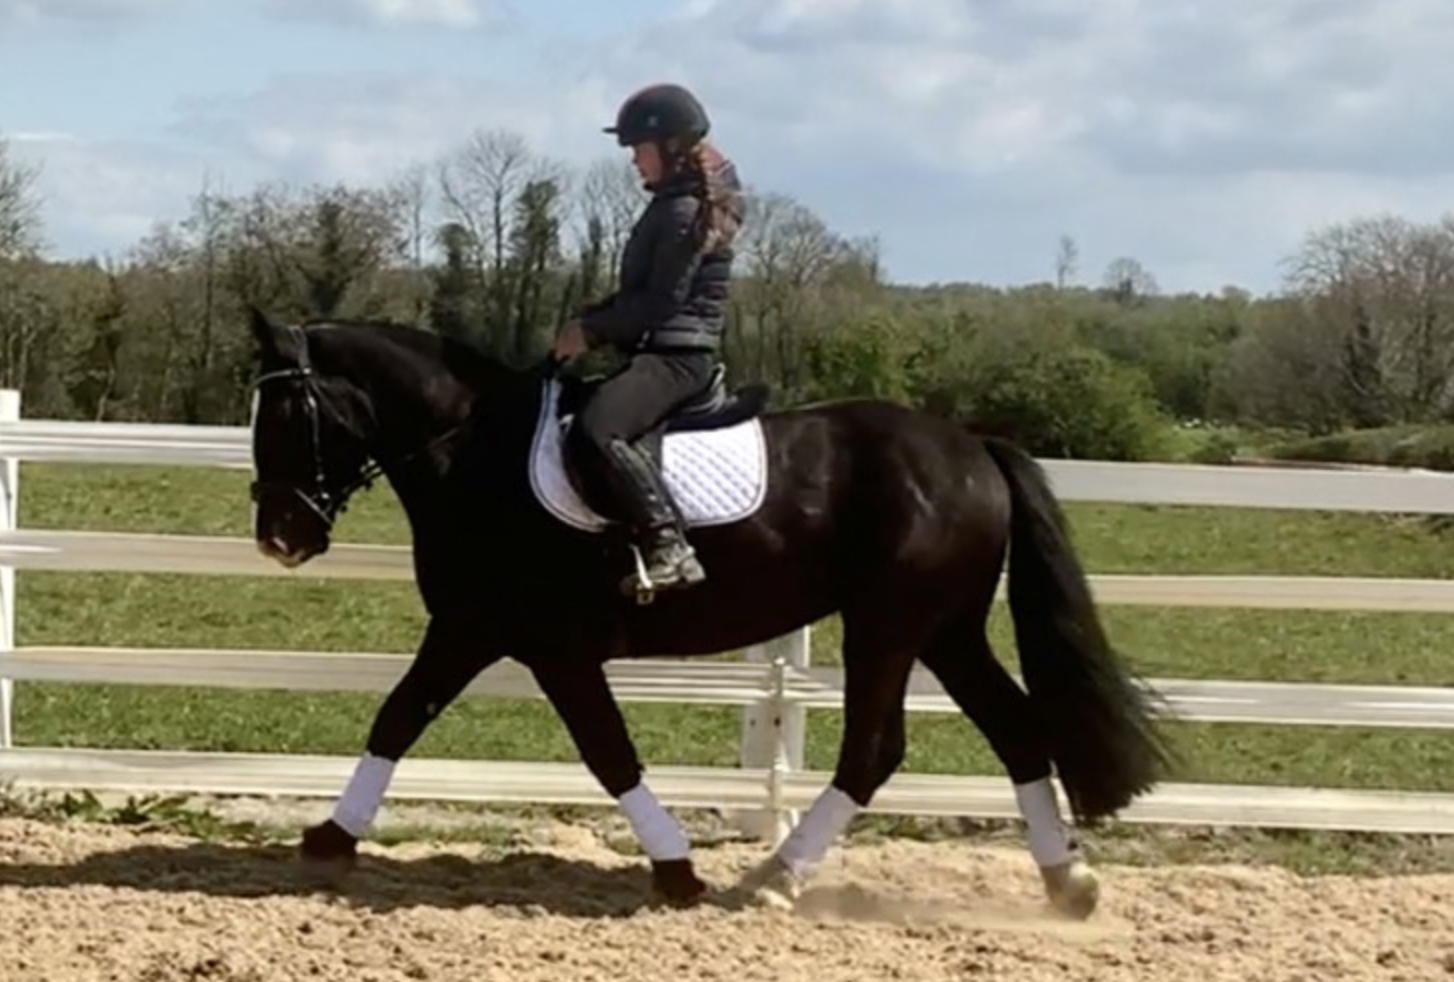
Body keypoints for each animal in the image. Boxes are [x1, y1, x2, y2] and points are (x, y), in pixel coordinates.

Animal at [244, 307, 1174, 919]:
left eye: (287, 410)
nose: (280, 536)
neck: (478, 454)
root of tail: (972, 447)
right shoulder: (473, 631)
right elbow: (400, 718)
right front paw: (329, 839)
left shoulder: (538, 645)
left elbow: (604, 753)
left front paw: (676, 870)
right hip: (944, 630)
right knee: (1015, 731)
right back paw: (1068, 882)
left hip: (889, 626)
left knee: (874, 751)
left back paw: (775, 878)